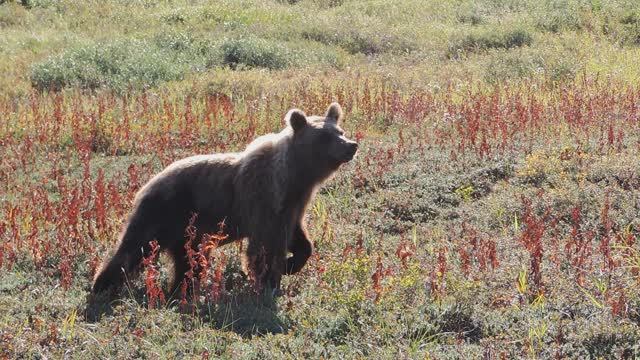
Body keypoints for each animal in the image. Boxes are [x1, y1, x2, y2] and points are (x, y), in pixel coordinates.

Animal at [92, 101, 358, 296]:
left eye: (340, 131)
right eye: (325, 136)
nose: (351, 145)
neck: (295, 176)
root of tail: (148, 182)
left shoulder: (292, 205)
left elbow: (297, 237)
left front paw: (291, 265)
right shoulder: (262, 199)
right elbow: (265, 246)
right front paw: (268, 283)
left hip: (189, 232)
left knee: (190, 263)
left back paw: (182, 290)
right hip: (164, 210)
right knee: (135, 247)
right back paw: (102, 286)